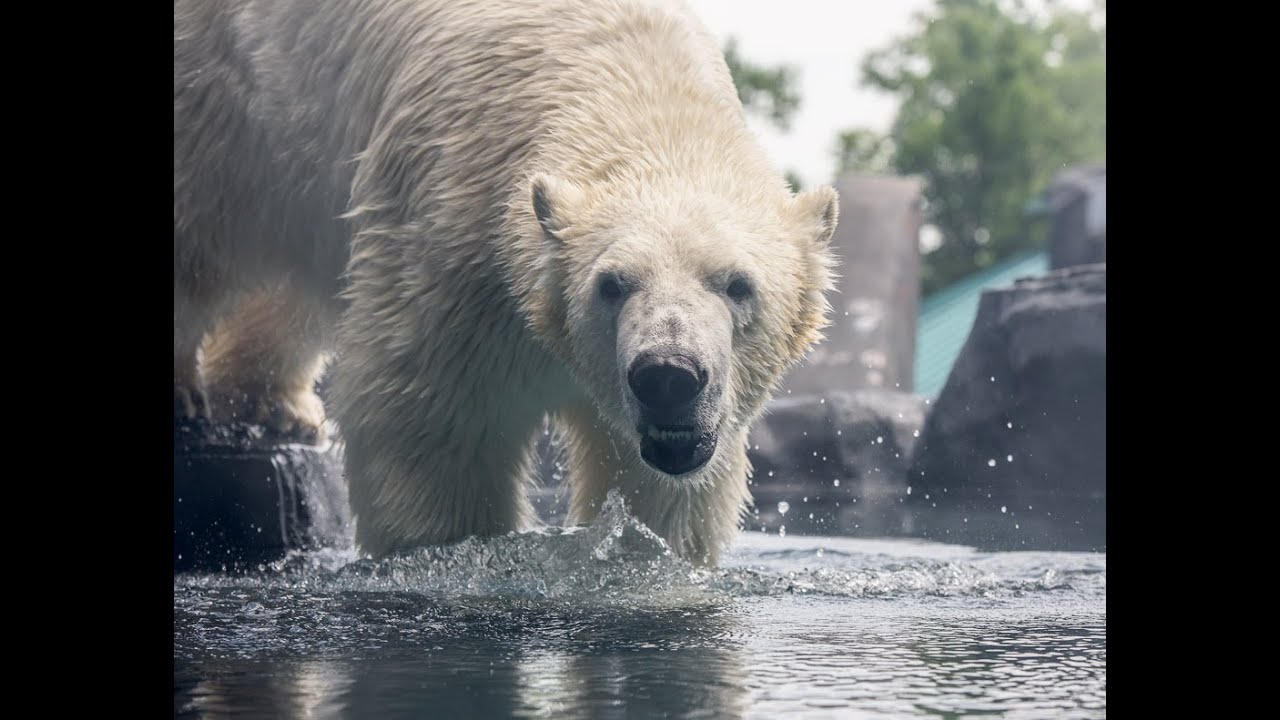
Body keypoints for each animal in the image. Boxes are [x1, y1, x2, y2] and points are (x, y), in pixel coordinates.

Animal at [174, 0, 838, 565]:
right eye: (612, 284)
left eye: (737, 284)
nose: (667, 375)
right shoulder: (454, 239)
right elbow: (430, 414)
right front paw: (455, 548)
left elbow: (657, 486)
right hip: (222, 99)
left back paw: (275, 407)